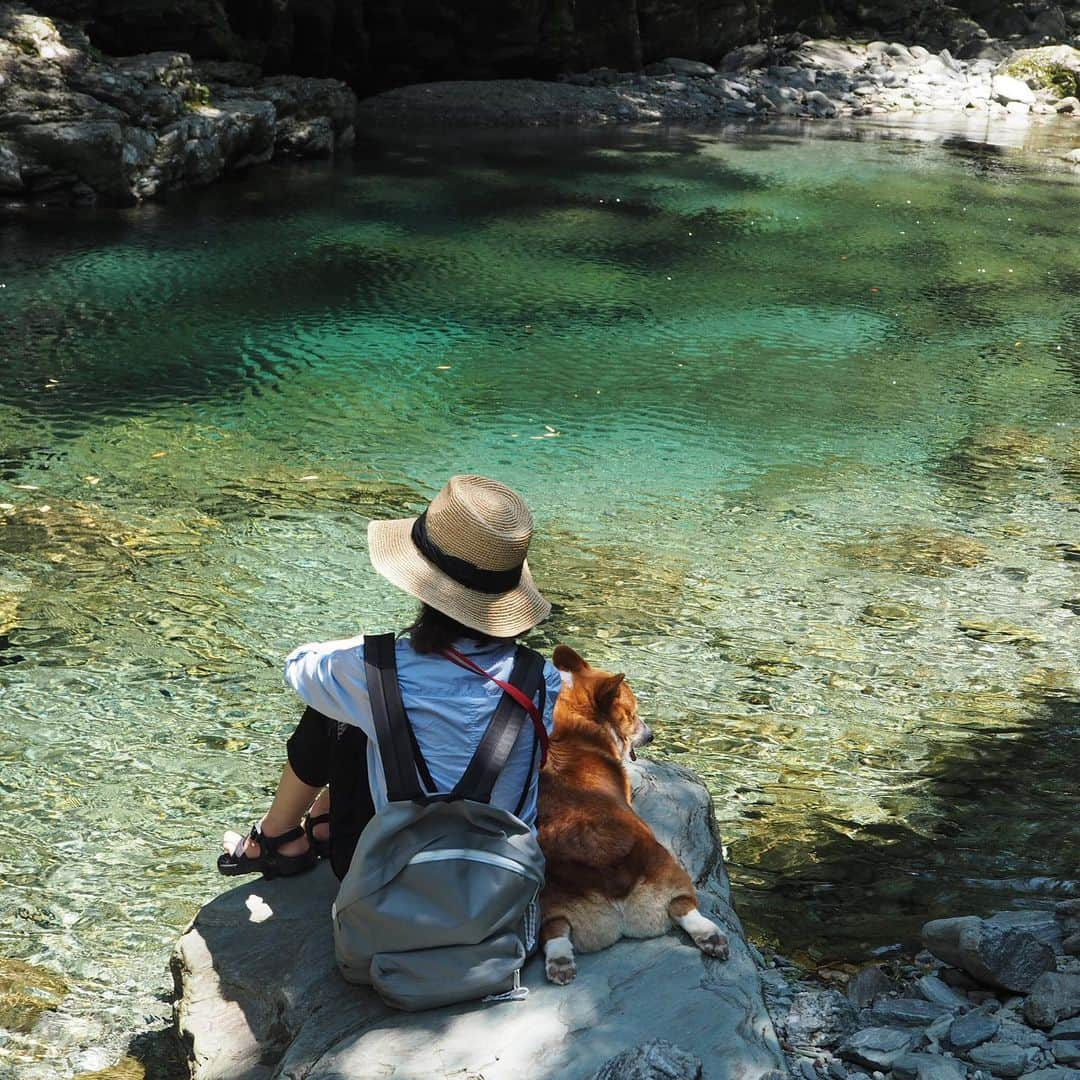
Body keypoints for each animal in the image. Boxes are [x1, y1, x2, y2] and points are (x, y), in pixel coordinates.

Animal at [535, 643, 730, 984]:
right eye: (633, 713)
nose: (651, 735)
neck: (572, 713)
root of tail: (611, 879)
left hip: (550, 902)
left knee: (555, 930)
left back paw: (560, 962)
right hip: (671, 870)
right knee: (683, 905)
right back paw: (711, 935)